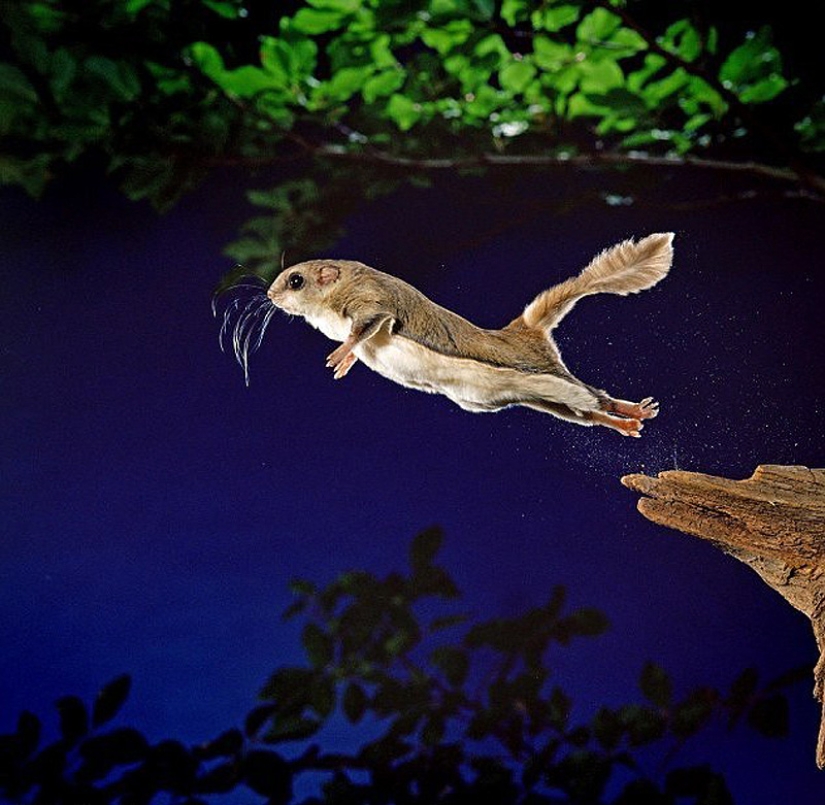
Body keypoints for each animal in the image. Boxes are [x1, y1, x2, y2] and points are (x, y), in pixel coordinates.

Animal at [264, 232, 674, 436]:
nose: (269, 295)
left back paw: (635, 410)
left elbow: (366, 326)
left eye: (295, 280)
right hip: (538, 398)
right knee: (586, 414)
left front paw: (342, 354)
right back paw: (627, 424)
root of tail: (523, 331)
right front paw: (346, 361)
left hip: (545, 374)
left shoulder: (373, 302)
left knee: (597, 397)